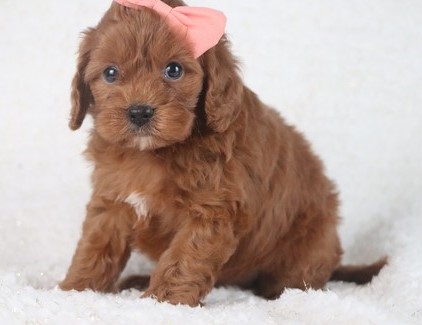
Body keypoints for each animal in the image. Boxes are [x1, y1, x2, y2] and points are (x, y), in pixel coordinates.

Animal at [59, 0, 386, 306]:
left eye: (174, 70)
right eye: (110, 73)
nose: (139, 112)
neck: (153, 153)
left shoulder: (212, 208)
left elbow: (184, 258)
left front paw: (163, 299)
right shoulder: (112, 200)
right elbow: (95, 247)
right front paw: (74, 289)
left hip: (308, 242)